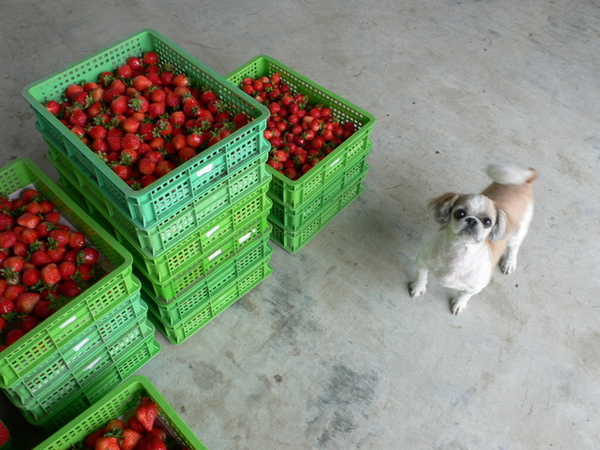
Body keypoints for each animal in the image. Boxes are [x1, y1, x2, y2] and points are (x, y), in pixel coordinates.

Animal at [408, 163, 540, 314]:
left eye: (488, 222)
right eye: (460, 213)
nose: (472, 220)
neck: (457, 253)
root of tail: (525, 182)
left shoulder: (475, 288)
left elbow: (464, 295)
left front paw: (459, 303)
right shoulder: (421, 264)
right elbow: (421, 277)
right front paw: (418, 287)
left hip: (517, 235)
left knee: (513, 248)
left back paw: (509, 262)